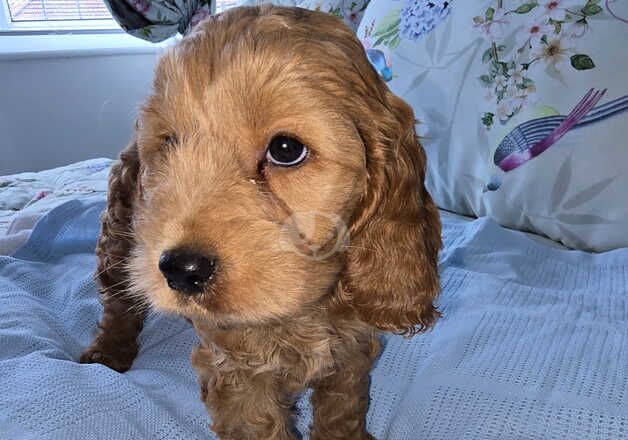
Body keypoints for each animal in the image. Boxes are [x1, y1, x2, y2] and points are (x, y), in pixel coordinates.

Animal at [79, 5, 442, 438]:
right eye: (170, 143)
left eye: (286, 149)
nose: (181, 270)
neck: (303, 307)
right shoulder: (238, 371)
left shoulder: (351, 353)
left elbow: (343, 408)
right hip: (119, 238)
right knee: (117, 302)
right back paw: (108, 351)